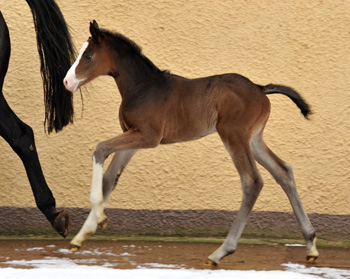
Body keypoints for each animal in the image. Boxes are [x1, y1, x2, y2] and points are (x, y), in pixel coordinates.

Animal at [64, 20, 318, 266]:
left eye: (88, 55)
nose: (67, 82)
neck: (143, 87)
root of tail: (260, 88)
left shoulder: (148, 136)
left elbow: (100, 149)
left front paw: (99, 219)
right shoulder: (133, 137)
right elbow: (110, 178)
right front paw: (82, 235)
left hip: (233, 134)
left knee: (251, 181)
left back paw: (220, 252)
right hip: (253, 139)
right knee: (283, 171)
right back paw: (311, 245)